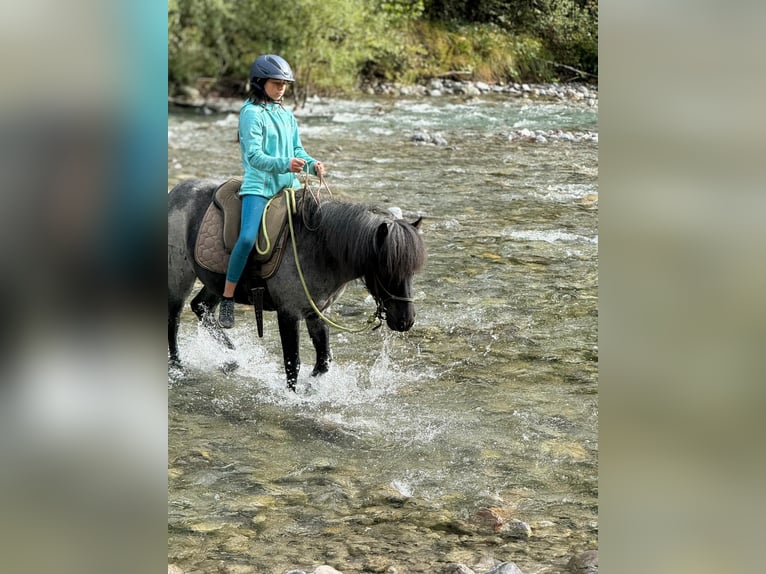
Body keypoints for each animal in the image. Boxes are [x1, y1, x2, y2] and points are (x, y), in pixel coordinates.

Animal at [168, 178, 426, 390]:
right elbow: (293, 363)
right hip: (180, 276)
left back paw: (233, 357)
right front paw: (293, 396)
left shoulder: (317, 311)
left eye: (412, 271)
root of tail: (178, 191)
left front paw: (312, 386)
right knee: (175, 317)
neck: (319, 248)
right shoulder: (289, 313)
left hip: (215, 283)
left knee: (201, 308)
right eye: (386, 269)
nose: (406, 321)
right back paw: (177, 364)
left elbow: (323, 360)